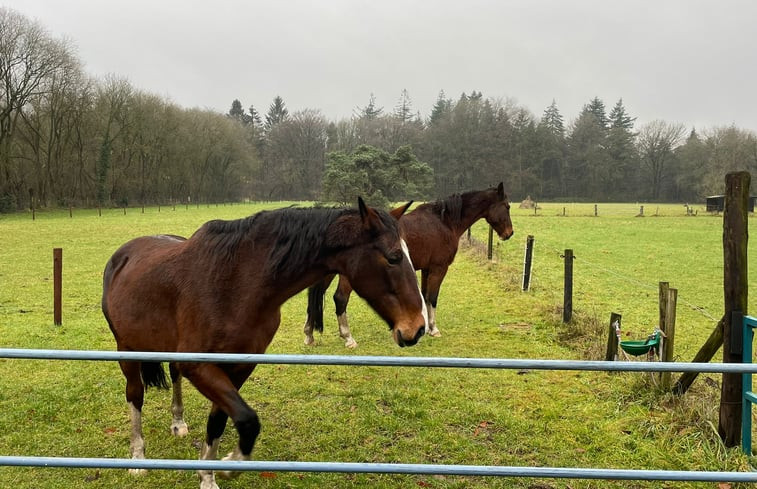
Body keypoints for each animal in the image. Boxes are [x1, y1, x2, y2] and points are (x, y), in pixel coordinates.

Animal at [100, 198, 426, 488]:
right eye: (393, 257)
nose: (417, 328)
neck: (237, 283)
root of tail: (122, 256)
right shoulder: (200, 366)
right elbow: (247, 419)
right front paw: (228, 467)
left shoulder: (238, 367)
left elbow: (220, 421)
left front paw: (209, 475)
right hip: (127, 350)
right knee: (135, 395)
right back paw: (138, 458)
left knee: (173, 375)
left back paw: (178, 424)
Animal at [302, 183, 512, 346]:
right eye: (507, 206)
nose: (509, 233)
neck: (444, 222)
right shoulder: (439, 268)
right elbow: (433, 297)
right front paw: (434, 329)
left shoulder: (427, 269)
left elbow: (426, 296)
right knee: (340, 299)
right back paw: (348, 338)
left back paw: (309, 335)